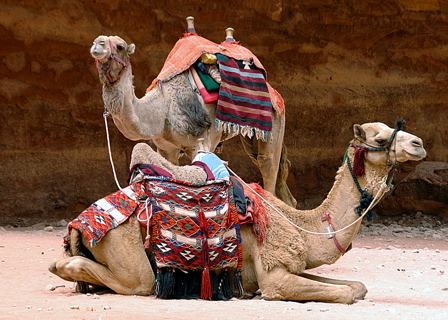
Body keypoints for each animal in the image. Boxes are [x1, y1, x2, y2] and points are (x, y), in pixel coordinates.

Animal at [49, 121, 428, 304]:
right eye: (379, 139)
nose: (419, 143)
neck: (304, 227)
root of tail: (80, 223)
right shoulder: (275, 273)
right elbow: (347, 293)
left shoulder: (293, 267)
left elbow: (357, 286)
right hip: (125, 248)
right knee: (136, 281)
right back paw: (64, 267)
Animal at [89, 28, 296, 205]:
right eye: (98, 40)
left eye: (120, 46)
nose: (97, 44)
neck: (162, 108)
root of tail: (274, 91)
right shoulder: (166, 148)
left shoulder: (200, 142)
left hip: (274, 118)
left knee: (267, 165)